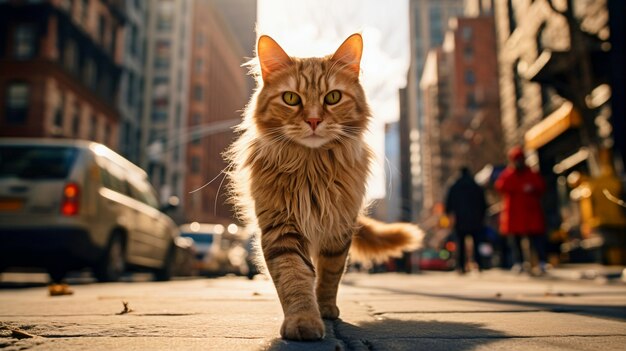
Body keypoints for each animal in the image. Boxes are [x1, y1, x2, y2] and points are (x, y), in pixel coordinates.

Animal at [224, 33, 420, 340]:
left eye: (333, 97)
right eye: (291, 98)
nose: (314, 120)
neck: (311, 168)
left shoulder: (337, 229)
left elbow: (329, 275)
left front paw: (325, 309)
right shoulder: (281, 228)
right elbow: (294, 277)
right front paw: (303, 320)